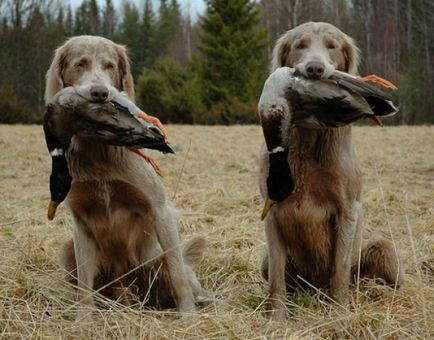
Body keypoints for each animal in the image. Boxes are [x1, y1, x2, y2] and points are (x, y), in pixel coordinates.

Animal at [45, 36, 205, 322]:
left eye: (110, 65)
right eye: (80, 64)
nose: (100, 94)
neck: (97, 151)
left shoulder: (161, 209)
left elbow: (177, 273)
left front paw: (187, 316)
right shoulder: (81, 222)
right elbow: (84, 283)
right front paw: (82, 321)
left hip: (157, 257)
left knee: (179, 270)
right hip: (67, 251)